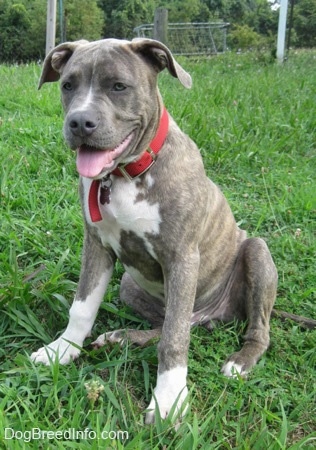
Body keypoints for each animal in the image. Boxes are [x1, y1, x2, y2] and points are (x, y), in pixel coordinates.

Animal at [30, 37, 276, 422]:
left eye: (118, 86)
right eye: (68, 85)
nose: (80, 122)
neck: (126, 174)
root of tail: (212, 315)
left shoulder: (182, 258)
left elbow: (174, 339)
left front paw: (169, 398)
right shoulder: (96, 245)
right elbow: (82, 306)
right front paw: (62, 349)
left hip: (257, 252)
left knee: (247, 328)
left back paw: (240, 360)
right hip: (130, 285)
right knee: (176, 322)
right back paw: (121, 337)